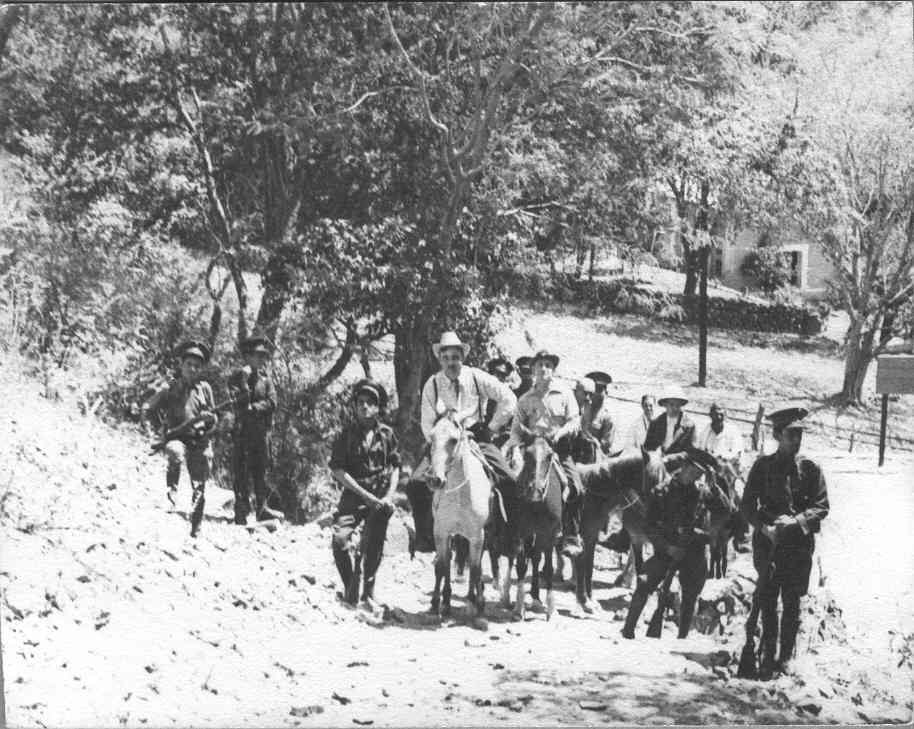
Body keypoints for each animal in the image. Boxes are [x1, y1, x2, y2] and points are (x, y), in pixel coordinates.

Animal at [428, 406, 492, 616]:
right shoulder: (441, 532)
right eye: (431, 437)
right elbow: (442, 566)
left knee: (475, 565)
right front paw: (438, 602)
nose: (435, 480)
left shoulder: (477, 535)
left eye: (454, 440)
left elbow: (475, 568)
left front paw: (475, 603)